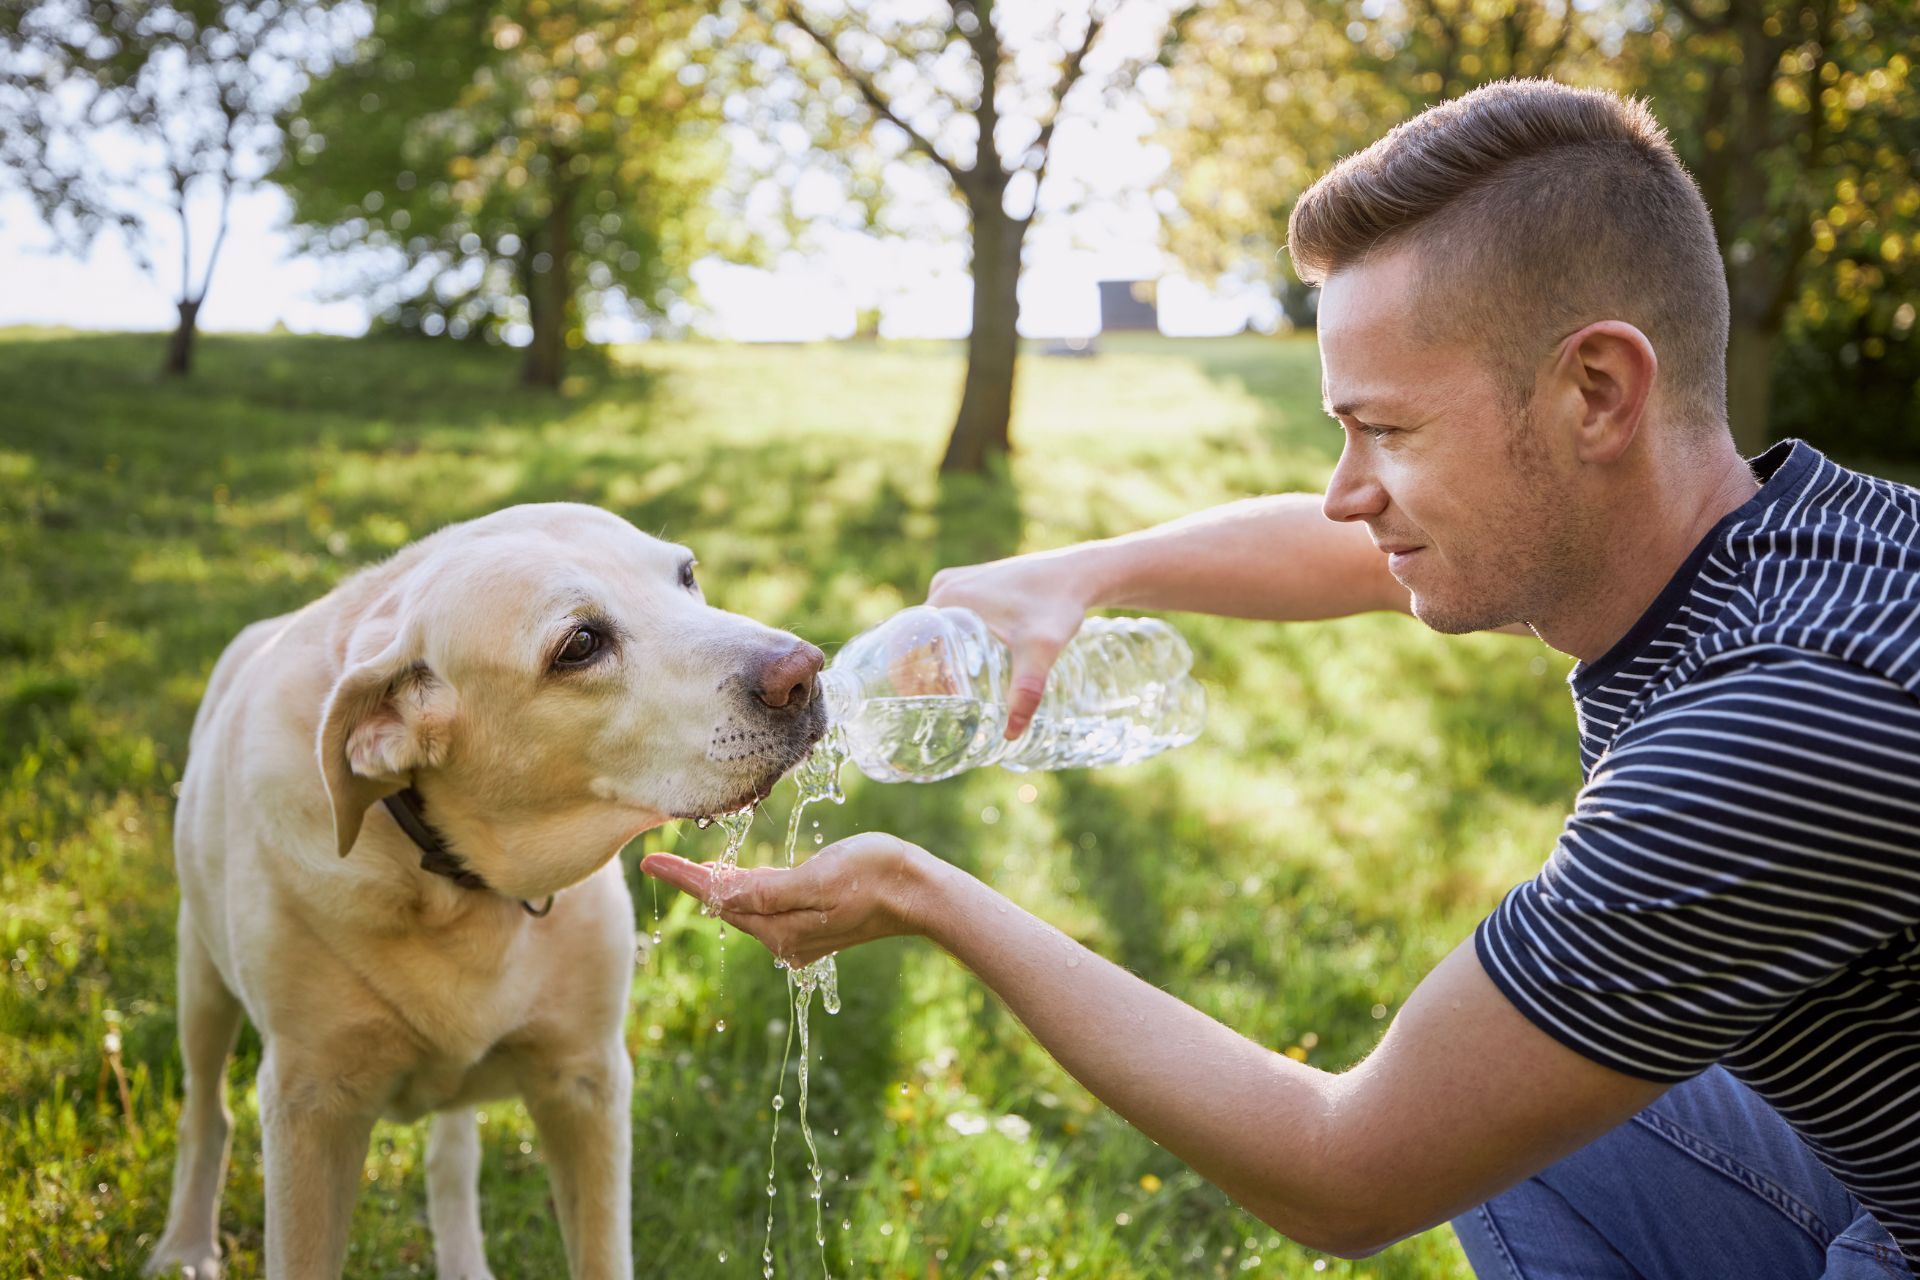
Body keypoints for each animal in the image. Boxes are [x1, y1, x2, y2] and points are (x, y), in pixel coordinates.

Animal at [147, 506, 825, 1274]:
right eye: (580, 645)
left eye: (687, 576)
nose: (804, 673)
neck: (452, 882)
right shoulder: (310, 1105)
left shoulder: (586, 1083)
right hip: (201, 978)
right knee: (206, 1110)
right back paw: (184, 1244)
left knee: (450, 1160)